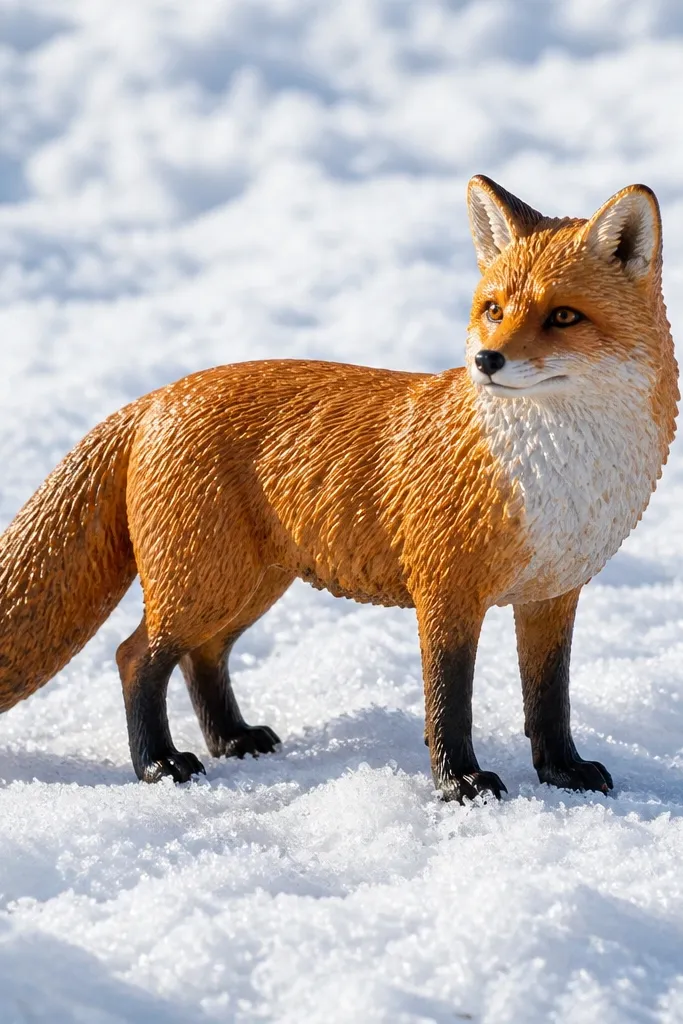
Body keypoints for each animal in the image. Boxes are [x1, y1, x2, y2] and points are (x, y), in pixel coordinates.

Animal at [0, 176, 677, 801]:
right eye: (493, 310)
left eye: (563, 316)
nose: (486, 361)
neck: (556, 476)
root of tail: (155, 398)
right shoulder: (446, 592)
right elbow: (449, 702)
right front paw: (459, 783)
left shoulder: (552, 596)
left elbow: (549, 701)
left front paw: (563, 773)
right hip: (202, 584)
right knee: (135, 657)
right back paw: (158, 764)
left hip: (246, 586)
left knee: (202, 657)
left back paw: (232, 738)